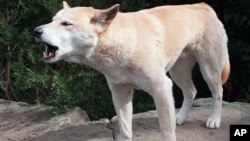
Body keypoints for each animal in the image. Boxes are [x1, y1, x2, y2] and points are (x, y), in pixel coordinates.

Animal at [34, 1, 229, 141]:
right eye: (52, 20)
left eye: (66, 24)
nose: (36, 31)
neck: (122, 42)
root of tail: (203, 5)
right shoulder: (120, 93)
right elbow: (126, 130)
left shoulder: (161, 88)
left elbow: (167, 131)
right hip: (178, 72)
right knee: (191, 91)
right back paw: (179, 117)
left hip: (209, 69)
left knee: (218, 93)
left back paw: (214, 120)